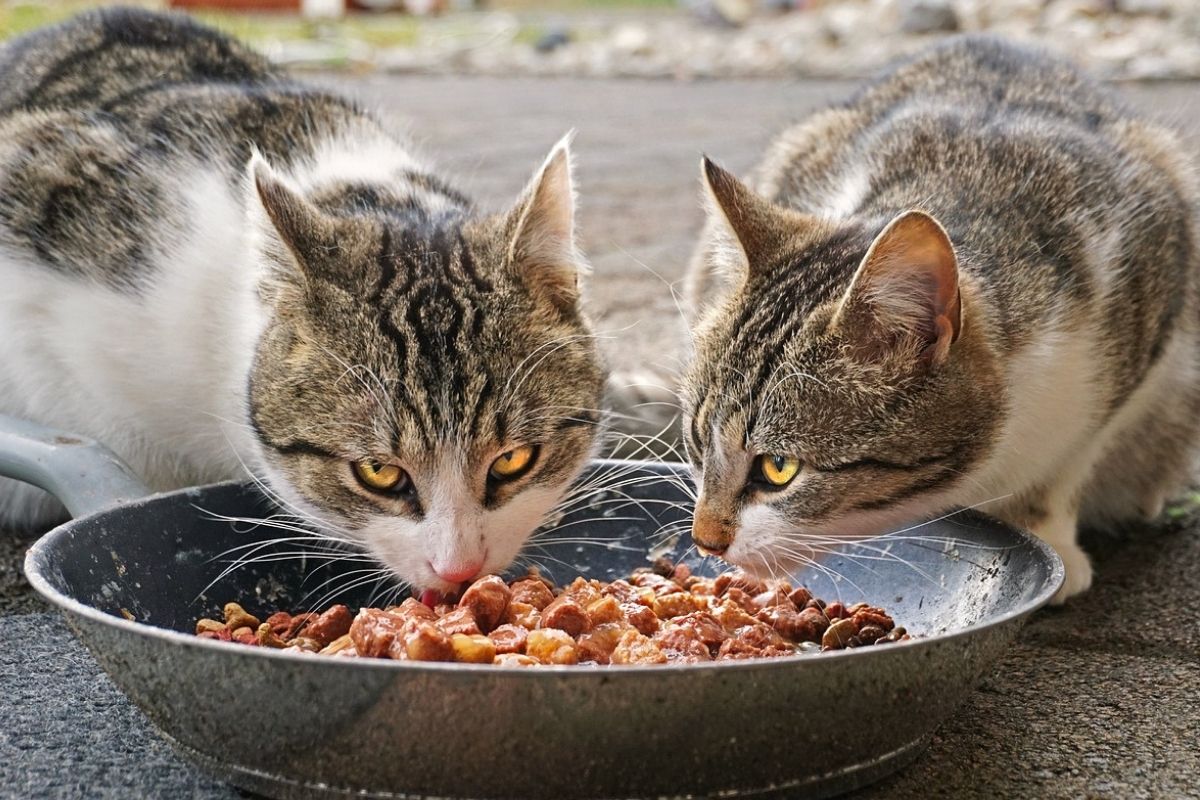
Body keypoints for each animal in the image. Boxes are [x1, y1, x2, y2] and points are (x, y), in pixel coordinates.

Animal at [681, 35, 1195, 599]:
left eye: (778, 468)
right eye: (697, 442)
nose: (705, 541)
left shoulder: (1148, 292)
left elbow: (1069, 461)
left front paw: (1049, 534)